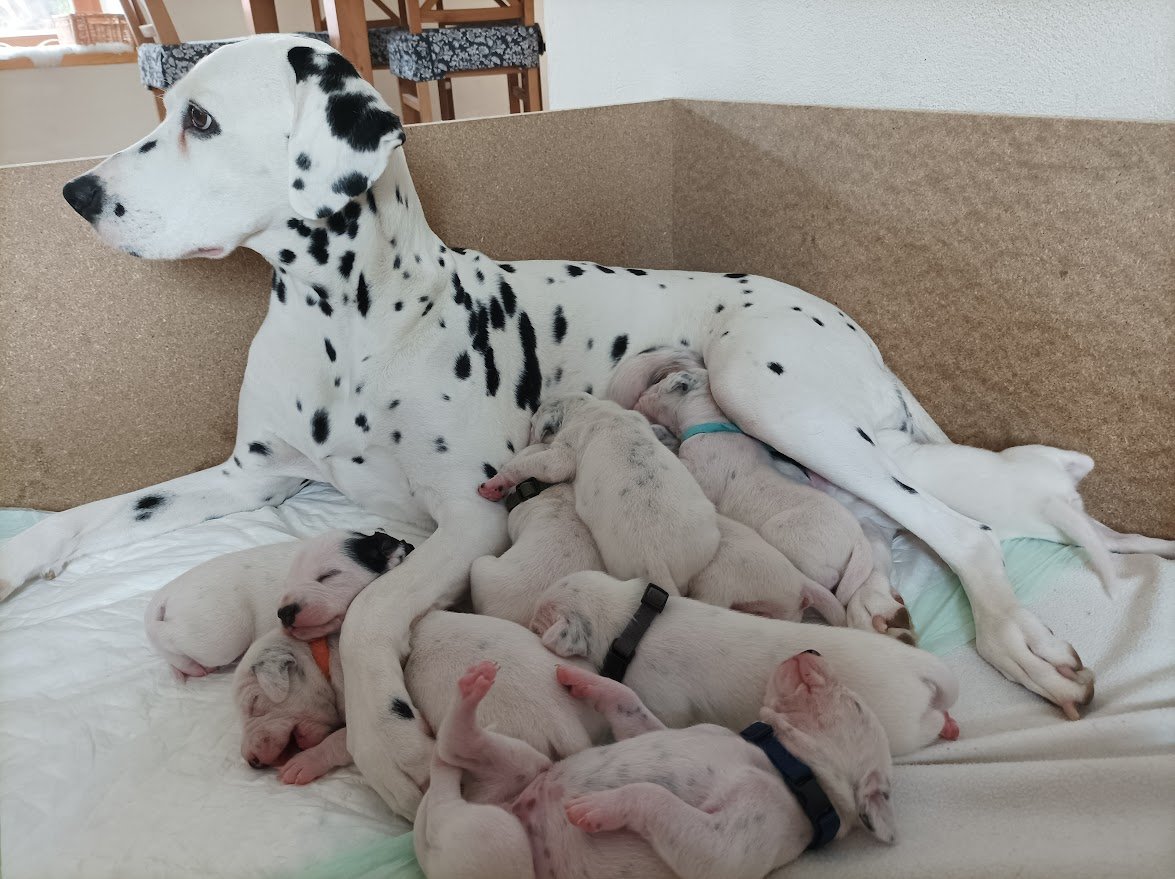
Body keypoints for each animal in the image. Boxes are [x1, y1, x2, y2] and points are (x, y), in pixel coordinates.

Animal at [144, 529, 409, 677]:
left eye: (329, 575)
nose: (284, 613)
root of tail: (165, 594)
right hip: (220, 637)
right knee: (165, 638)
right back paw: (191, 667)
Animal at [235, 610, 607, 786]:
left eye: (254, 703)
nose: (250, 761)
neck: (322, 653)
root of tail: (567, 728)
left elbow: (340, 740)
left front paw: (303, 764)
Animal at [415, 654, 895, 879]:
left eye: (854, 704)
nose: (812, 648)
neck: (784, 761)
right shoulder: (656, 727)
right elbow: (629, 704)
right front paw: (585, 680)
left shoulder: (726, 846)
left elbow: (655, 798)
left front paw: (599, 808)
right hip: (523, 766)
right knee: (457, 749)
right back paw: (471, 694)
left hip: (497, 843)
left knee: (447, 782)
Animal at [478, 395, 720, 593]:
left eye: (532, 423)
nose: (528, 439)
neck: (593, 408)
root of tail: (656, 563)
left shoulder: (563, 449)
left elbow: (533, 466)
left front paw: (495, 484)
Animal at [531, 571, 959, 755]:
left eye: (537, 621)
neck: (632, 621)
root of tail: (917, 665)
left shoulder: (663, 701)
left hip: (901, 728)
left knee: (928, 725)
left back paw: (946, 725)